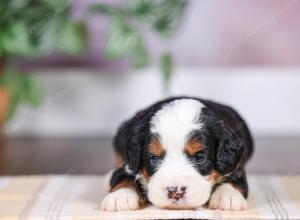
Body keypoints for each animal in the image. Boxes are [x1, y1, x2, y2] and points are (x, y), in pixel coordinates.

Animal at [101, 96, 253, 211]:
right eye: (154, 158)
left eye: (199, 158)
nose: (175, 192)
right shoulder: (129, 164)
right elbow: (123, 176)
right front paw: (120, 196)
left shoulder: (236, 165)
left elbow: (235, 179)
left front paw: (227, 196)